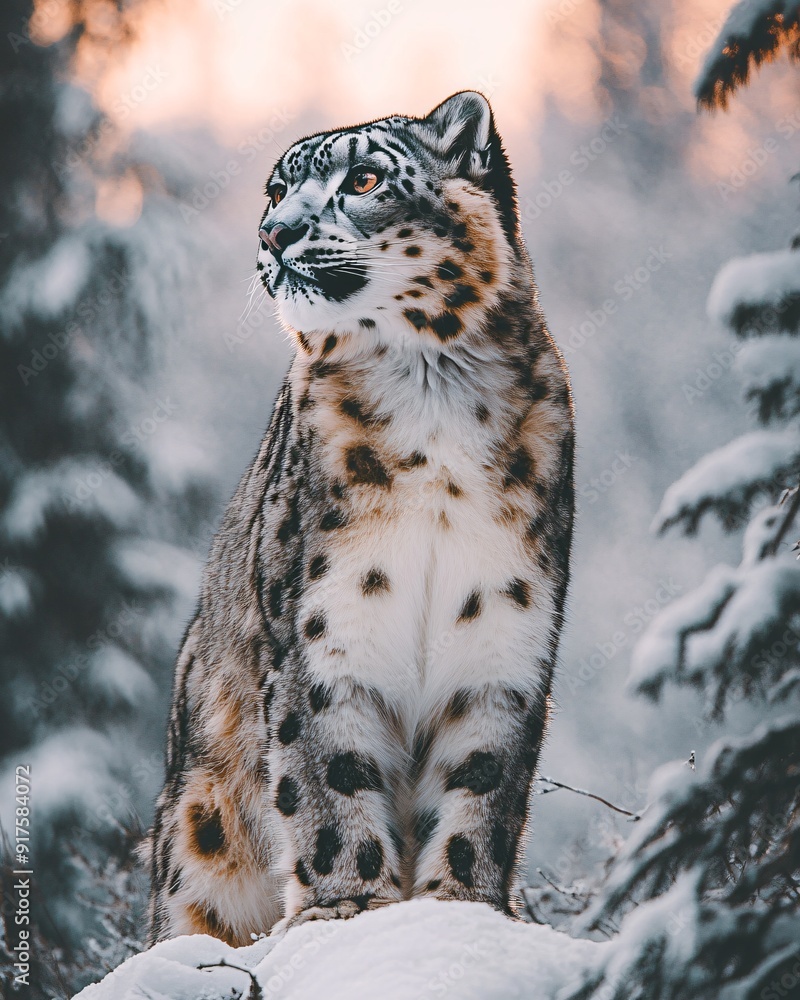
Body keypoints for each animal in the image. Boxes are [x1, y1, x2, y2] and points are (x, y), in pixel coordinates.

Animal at [147, 90, 575, 945]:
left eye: (366, 179)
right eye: (276, 192)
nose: (274, 233)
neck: (434, 393)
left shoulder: (504, 632)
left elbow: (485, 784)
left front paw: (461, 907)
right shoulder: (324, 628)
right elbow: (327, 776)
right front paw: (345, 908)